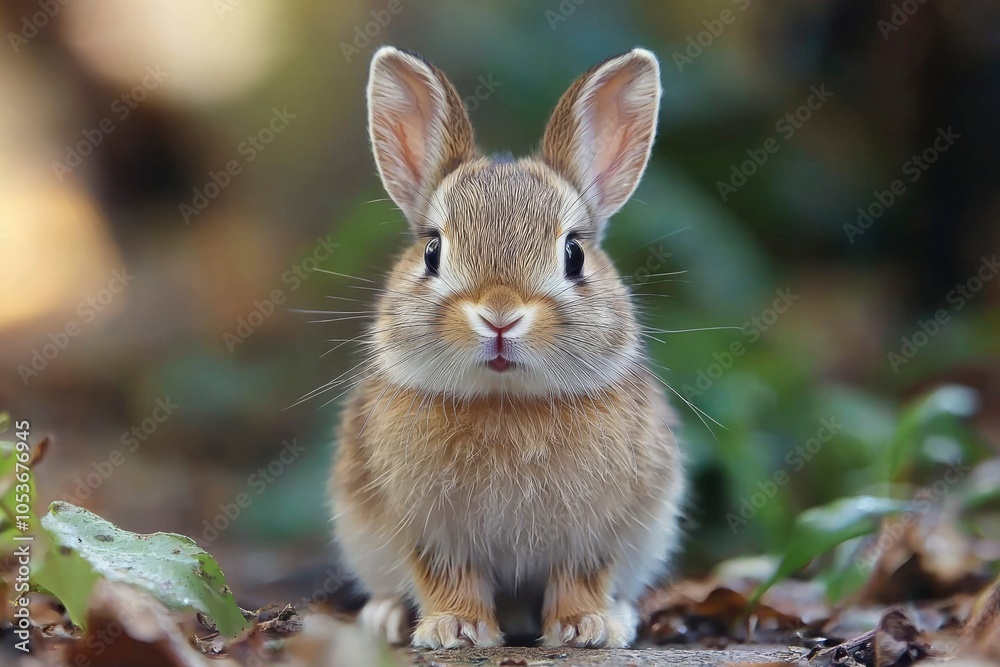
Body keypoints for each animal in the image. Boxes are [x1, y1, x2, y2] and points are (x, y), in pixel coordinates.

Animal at [328, 45, 684, 650]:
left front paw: (583, 627)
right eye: (432, 251)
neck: (506, 398)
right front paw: (456, 628)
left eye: (574, 254)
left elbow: (581, 577)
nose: (500, 316)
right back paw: (387, 617)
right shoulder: (430, 529)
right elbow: (447, 576)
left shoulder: (595, 531)